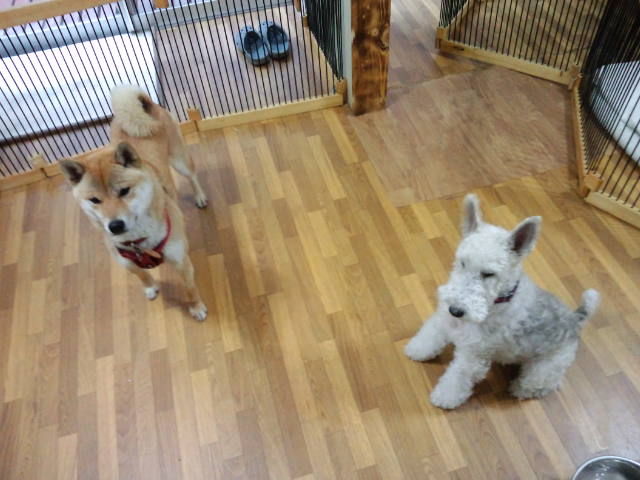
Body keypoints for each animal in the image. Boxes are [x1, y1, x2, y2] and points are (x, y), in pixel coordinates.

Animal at [59, 85, 209, 321]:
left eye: (124, 191)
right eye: (95, 200)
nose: (115, 225)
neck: (137, 243)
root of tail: (147, 106)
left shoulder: (180, 260)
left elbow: (189, 289)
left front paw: (196, 308)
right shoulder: (125, 261)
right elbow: (140, 275)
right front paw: (150, 287)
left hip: (179, 160)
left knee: (192, 176)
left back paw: (200, 197)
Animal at [405, 194, 600, 409]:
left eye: (489, 274)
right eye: (462, 262)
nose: (456, 310)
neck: (497, 302)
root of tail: (576, 319)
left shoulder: (473, 355)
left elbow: (457, 376)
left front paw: (445, 397)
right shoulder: (445, 320)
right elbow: (431, 335)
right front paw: (417, 350)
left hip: (544, 369)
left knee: (542, 385)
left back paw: (518, 388)